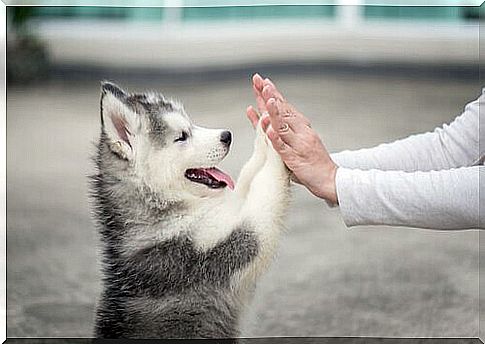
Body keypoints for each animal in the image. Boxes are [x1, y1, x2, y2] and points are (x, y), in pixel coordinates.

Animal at [90, 81, 288, 338]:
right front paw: (275, 135)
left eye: (191, 123)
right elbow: (265, 188)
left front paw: (265, 127)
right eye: (182, 136)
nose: (227, 136)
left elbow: (248, 177)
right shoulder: (227, 248)